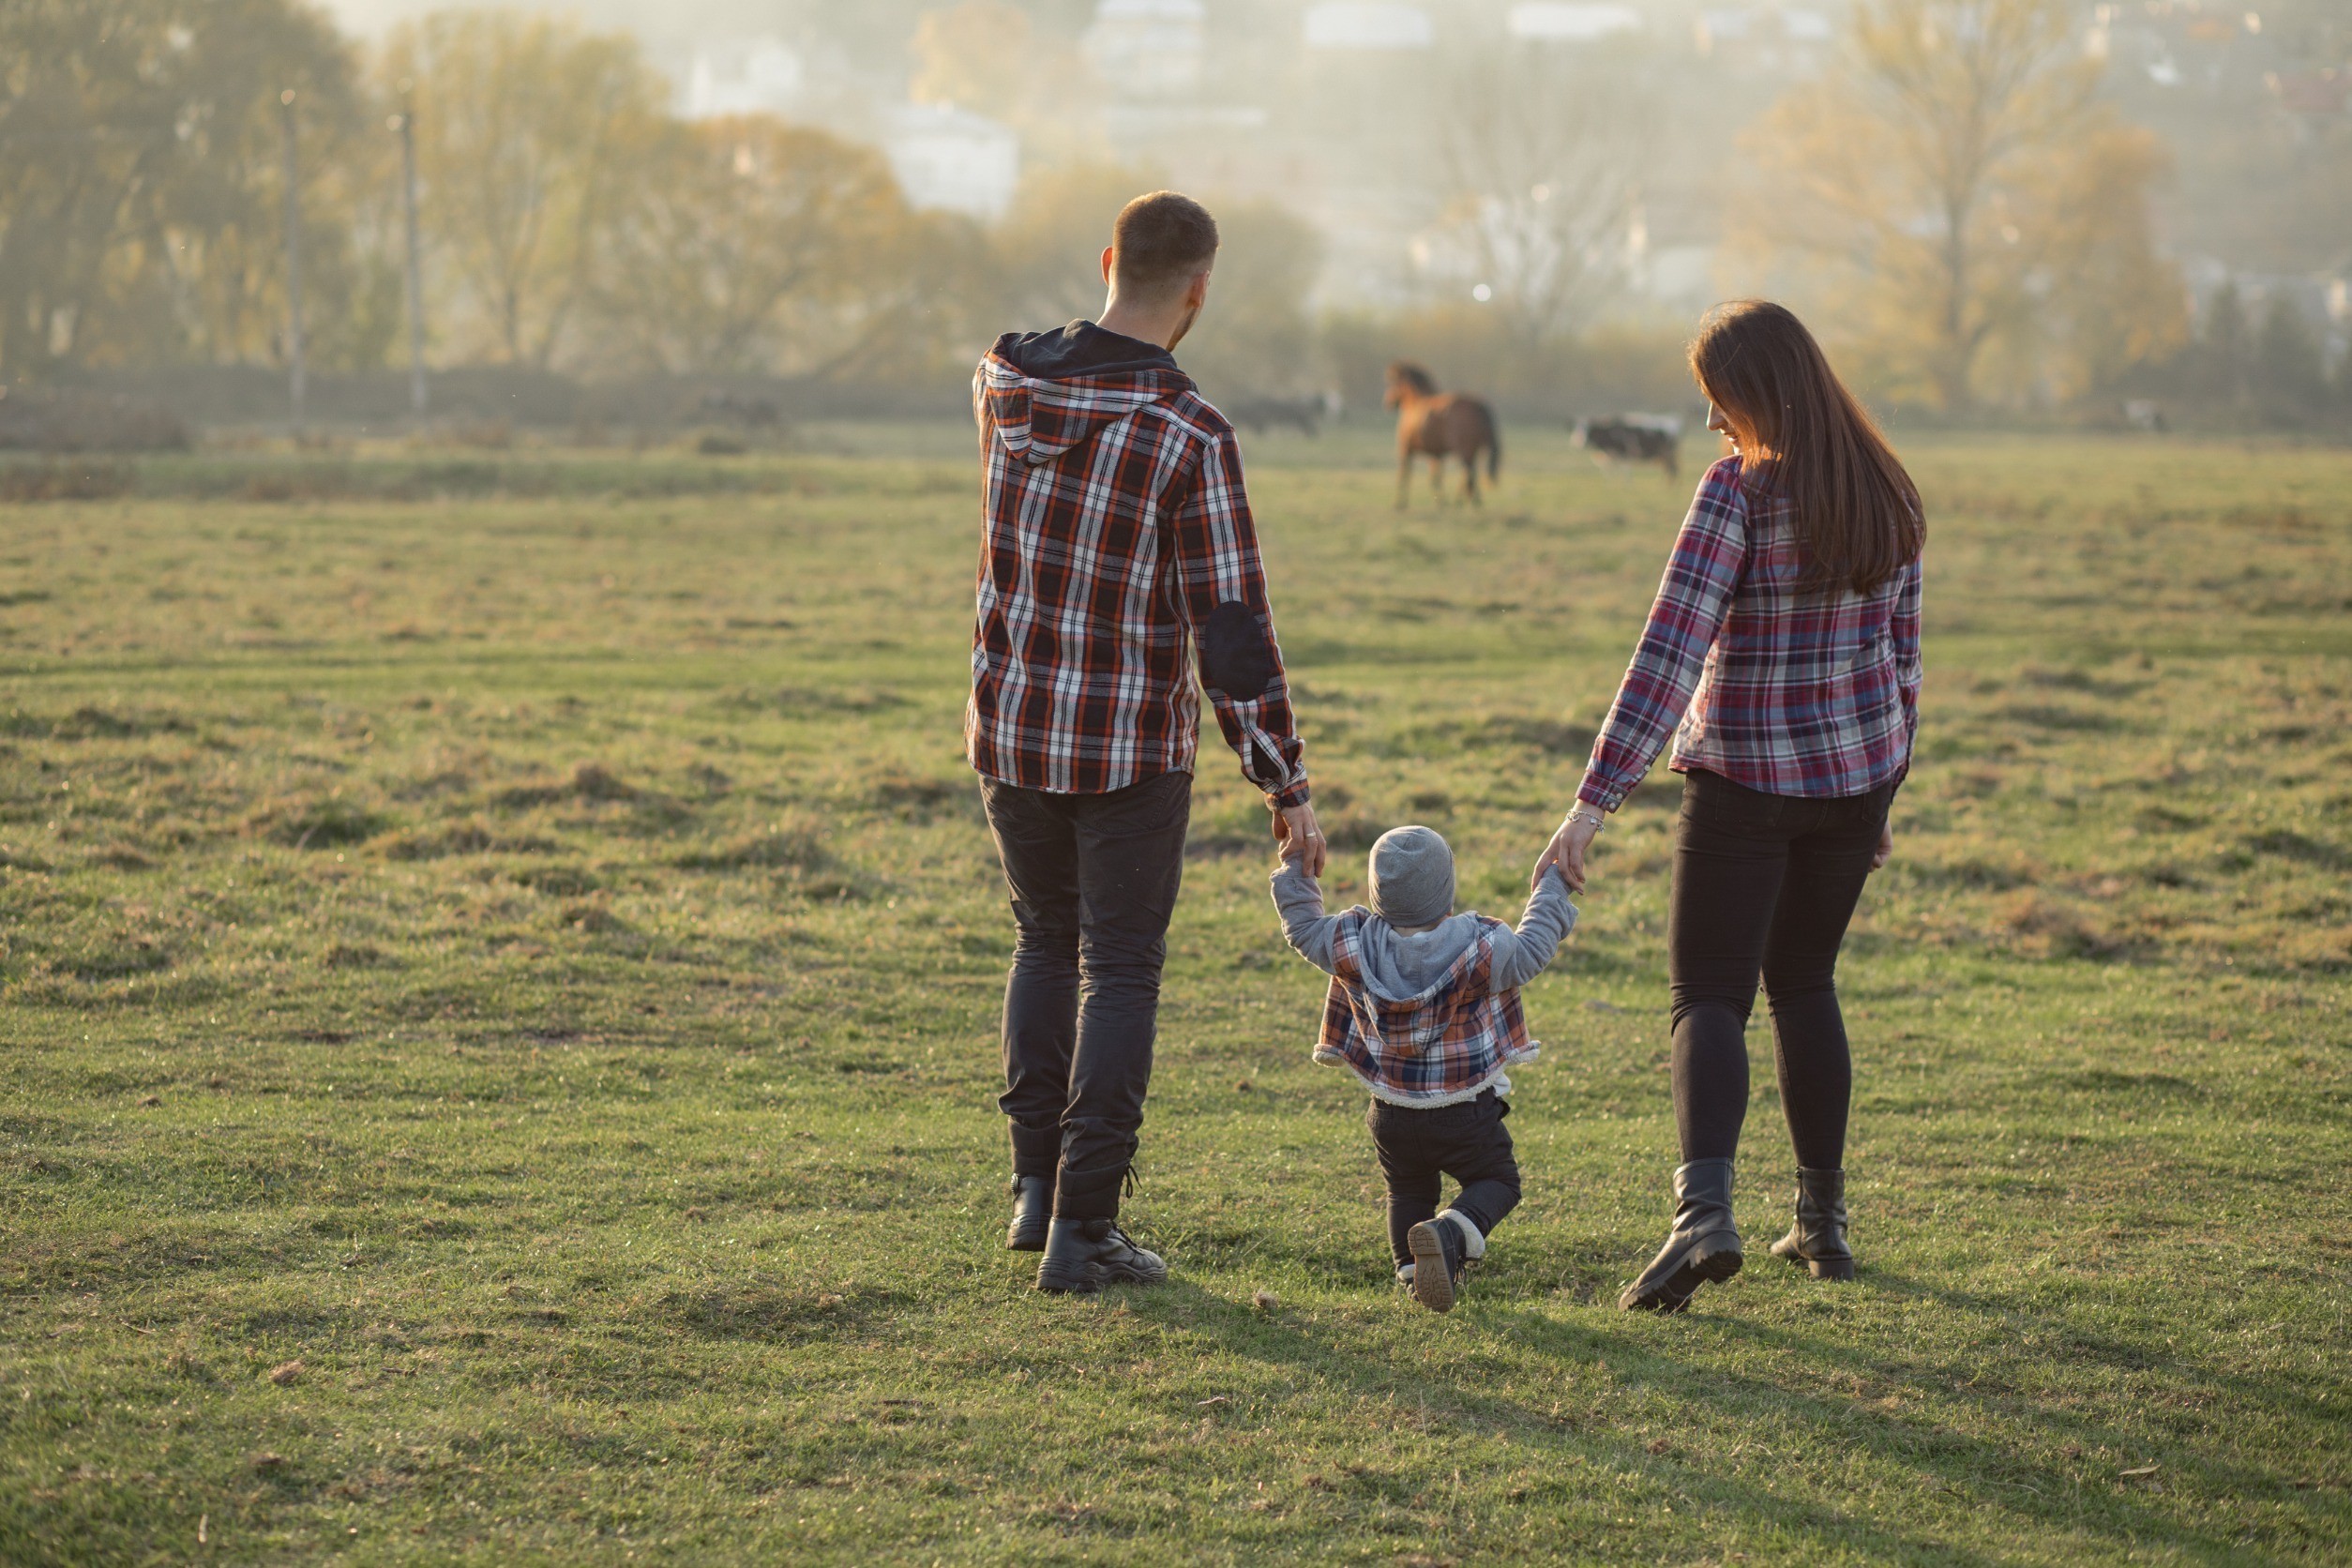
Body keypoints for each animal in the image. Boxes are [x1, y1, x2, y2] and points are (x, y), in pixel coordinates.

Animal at [1373, 362, 1505, 509]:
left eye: (1392, 382)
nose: (1387, 402)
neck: (1415, 402)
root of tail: (1480, 406)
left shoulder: (1405, 449)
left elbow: (1404, 475)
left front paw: (1399, 504)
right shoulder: (1436, 454)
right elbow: (1436, 477)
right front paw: (1441, 503)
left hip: (1465, 451)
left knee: (1468, 475)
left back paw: (1469, 502)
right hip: (1472, 451)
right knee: (1469, 475)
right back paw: (1464, 501)